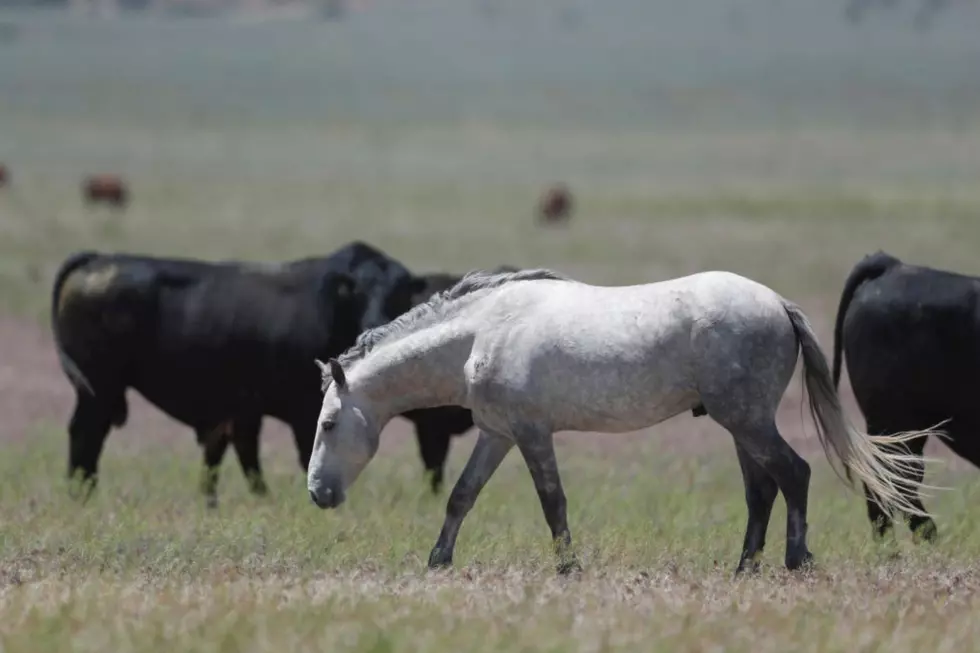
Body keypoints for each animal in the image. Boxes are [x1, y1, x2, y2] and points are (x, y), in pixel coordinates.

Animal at [51, 242, 498, 506]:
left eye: (399, 291)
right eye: (355, 290)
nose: (376, 320)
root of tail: (99, 259)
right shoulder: (302, 411)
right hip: (100, 389)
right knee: (86, 433)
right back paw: (82, 491)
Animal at [308, 268, 940, 572]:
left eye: (329, 424)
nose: (317, 494)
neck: (481, 332)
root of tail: (779, 304)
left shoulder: (532, 435)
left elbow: (553, 502)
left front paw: (568, 567)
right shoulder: (497, 434)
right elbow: (462, 496)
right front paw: (438, 561)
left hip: (747, 421)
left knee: (794, 474)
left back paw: (794, 560)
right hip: (742, 426)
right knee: (762, 490)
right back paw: (744, 567)